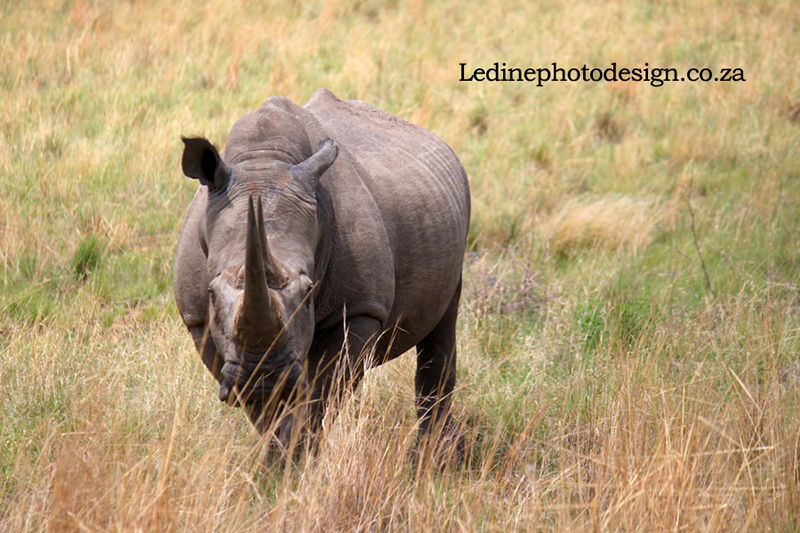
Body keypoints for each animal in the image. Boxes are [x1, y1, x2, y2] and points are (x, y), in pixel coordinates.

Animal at [174, 88, 470, 451]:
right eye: (212, 293)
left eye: (309, 292)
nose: (264, 376)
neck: (264, 163)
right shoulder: (199, 320)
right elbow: (265, 413)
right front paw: (278, 456)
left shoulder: (359, 308)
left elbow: (317, 399)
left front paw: (296, 456)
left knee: (443, 324)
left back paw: (433, 457)